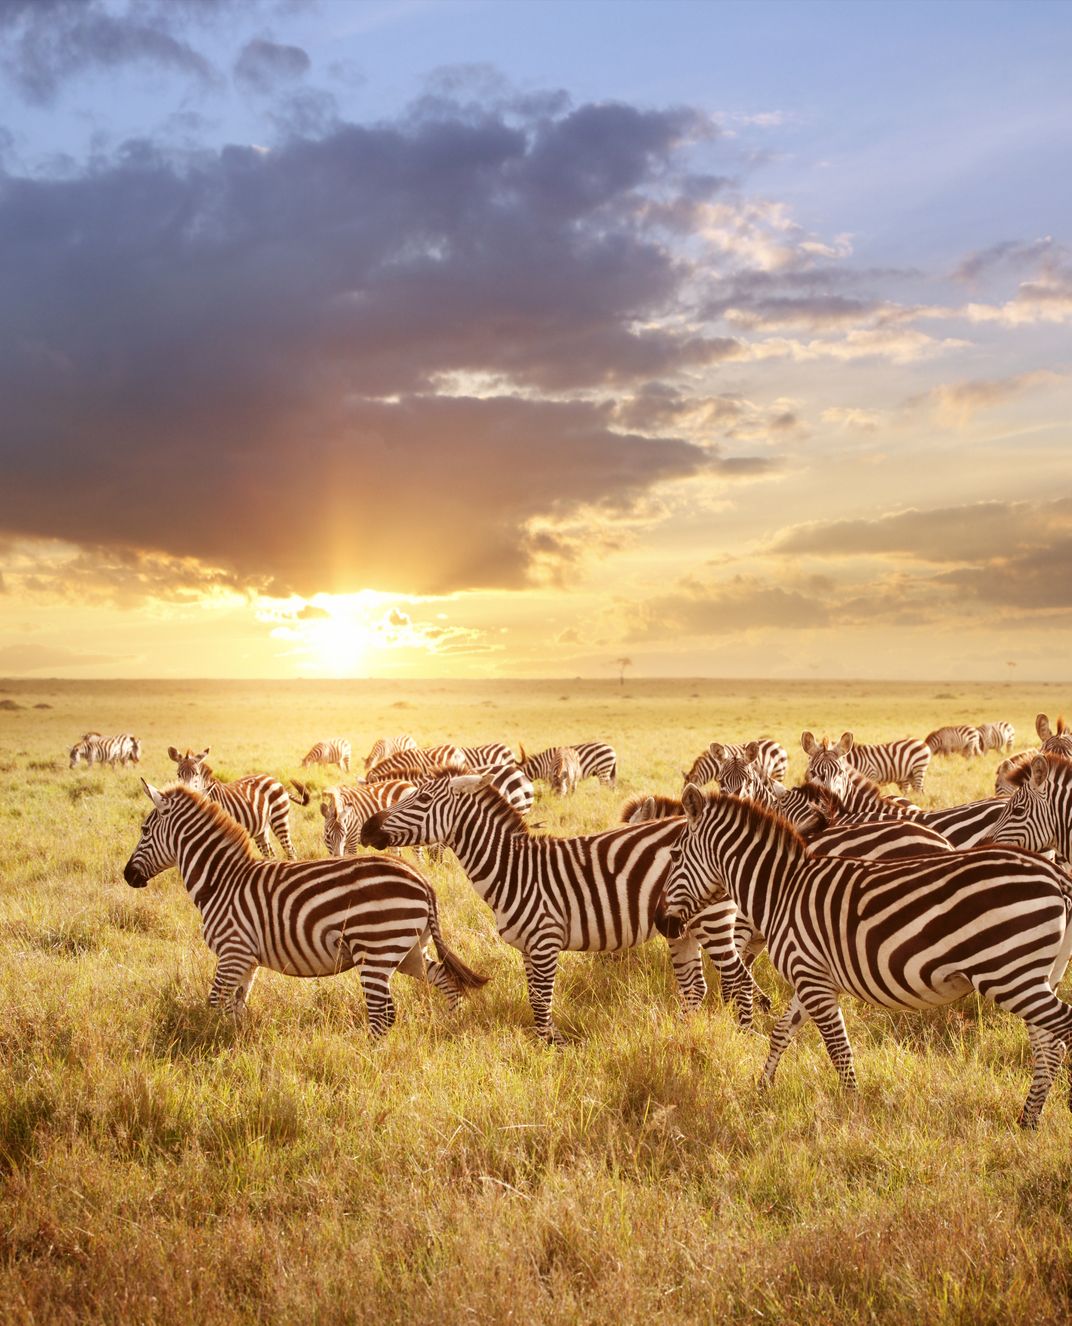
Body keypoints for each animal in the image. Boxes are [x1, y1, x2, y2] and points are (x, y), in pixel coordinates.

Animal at [124, 782, 487, 1035]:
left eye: (144, 831)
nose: (127, 876)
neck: (222, 881)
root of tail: (422, 881)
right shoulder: (247, 959)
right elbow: (236, 1006)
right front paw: (235, 1043)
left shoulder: (233, 951)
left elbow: (215, 1003)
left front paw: (212, 1044)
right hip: (408, 949)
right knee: (445, 980)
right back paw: (452, 1024)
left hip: (375, 949)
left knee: (383, 1014)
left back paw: (368, 1059)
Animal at [167, 746, 309, 859]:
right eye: (178, 774)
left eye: (196, 774)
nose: (187, 792)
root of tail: (275, 780)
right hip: (261, 829)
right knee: (270, 853)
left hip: (279, 818)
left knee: (290, 850)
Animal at [361, 770, 718, 1042]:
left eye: (422, 799)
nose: (367, 828)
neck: (514, 870)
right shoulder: (527, 947)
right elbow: (534, 998)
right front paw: (542, 1045)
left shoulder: (546, 940)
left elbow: (542, 1002)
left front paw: (552, 1050)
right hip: (680, 929)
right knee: (695, 988)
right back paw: (682, 1036)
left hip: (708, 918)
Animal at [657, 787, 1072, 1128]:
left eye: (674, 855)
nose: (663, 923)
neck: (783, 890)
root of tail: (1055, 875)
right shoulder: (810, 978)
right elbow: (781, 1033)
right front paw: (762, 1088)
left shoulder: (812, 980)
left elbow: (838, 1049)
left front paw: (851, 1111)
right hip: (1034, 976)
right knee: (1049, 1046)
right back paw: (1027, 1121)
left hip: (1009, 974)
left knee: (1061, 1032)